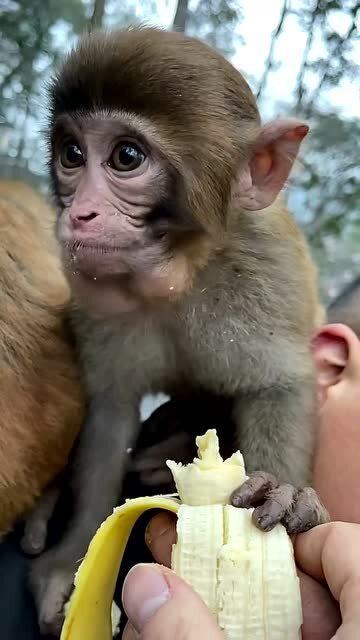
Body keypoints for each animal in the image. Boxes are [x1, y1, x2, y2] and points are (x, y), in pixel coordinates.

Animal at [32, 26, 328, 636]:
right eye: (73, 155)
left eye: (126, 157)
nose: (79, 214)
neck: (179, 271)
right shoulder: (95, 294)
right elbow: (111, 410)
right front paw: (69, 564)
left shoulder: (264, 269)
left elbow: (280, 385)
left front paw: (281, 491)